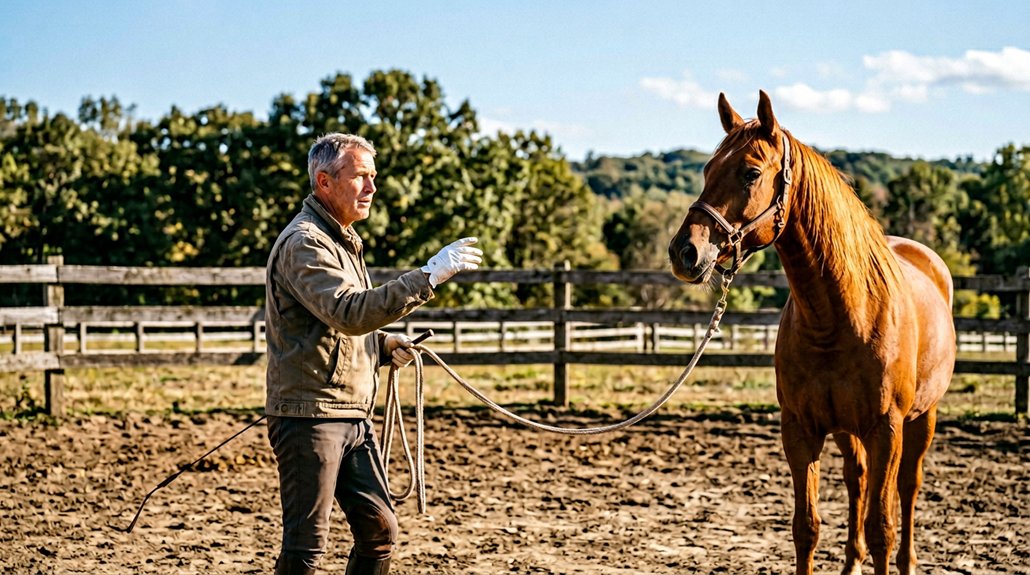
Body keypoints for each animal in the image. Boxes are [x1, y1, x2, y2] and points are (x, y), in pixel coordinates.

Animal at [668, 91, 956, 575]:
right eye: (707, 170)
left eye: (750, 172)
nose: (684, 252)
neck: (839, 317)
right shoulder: (801, 429)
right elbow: (807, 527)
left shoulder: (886, 430)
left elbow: (882, 527)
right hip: (846, 429)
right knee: (857, 478)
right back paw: (851, 561)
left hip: (922, 418)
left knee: (908, 487)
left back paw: (908, 561)